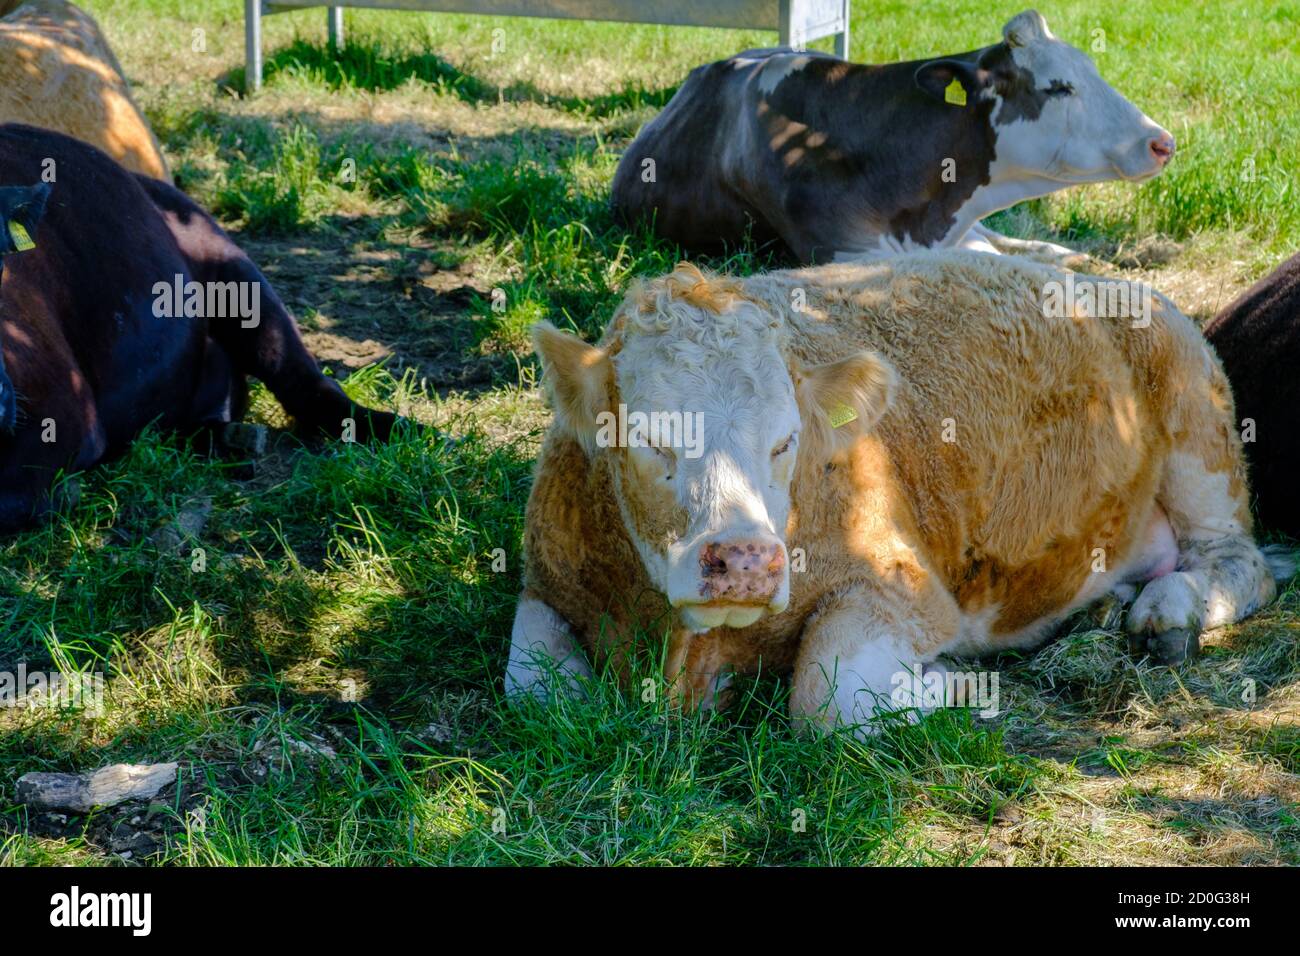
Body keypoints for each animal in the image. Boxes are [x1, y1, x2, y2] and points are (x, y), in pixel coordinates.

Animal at [1, 123, 395, 535]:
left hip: (238, 276)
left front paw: (63, 495)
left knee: (304, 383)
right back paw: (229, 439)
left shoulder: (66, 409)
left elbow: (11, 498)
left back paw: (397, 428)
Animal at [506, 252, 1279, 733]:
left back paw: (1168, 608)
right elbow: (536, 692)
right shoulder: (545, 583)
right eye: (648, 438)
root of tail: (1112, 284)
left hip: (1196, 423)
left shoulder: (902, 584)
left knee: (1241, 562)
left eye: (786, 441)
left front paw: (953, 683)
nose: (747, 561)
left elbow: (829, 698)